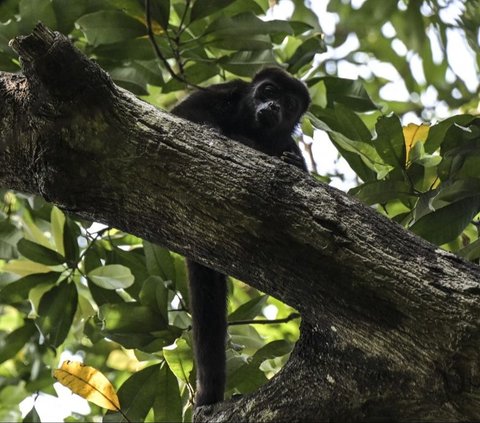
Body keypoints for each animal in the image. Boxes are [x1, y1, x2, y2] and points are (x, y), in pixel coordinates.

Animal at [171, 67, 310, 408]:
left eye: (289, 104)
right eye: (268, 91)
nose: (273, 106)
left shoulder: (287, 141)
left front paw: (288, 163)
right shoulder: (224, 91)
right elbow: (180, 115)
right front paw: (215, 130)